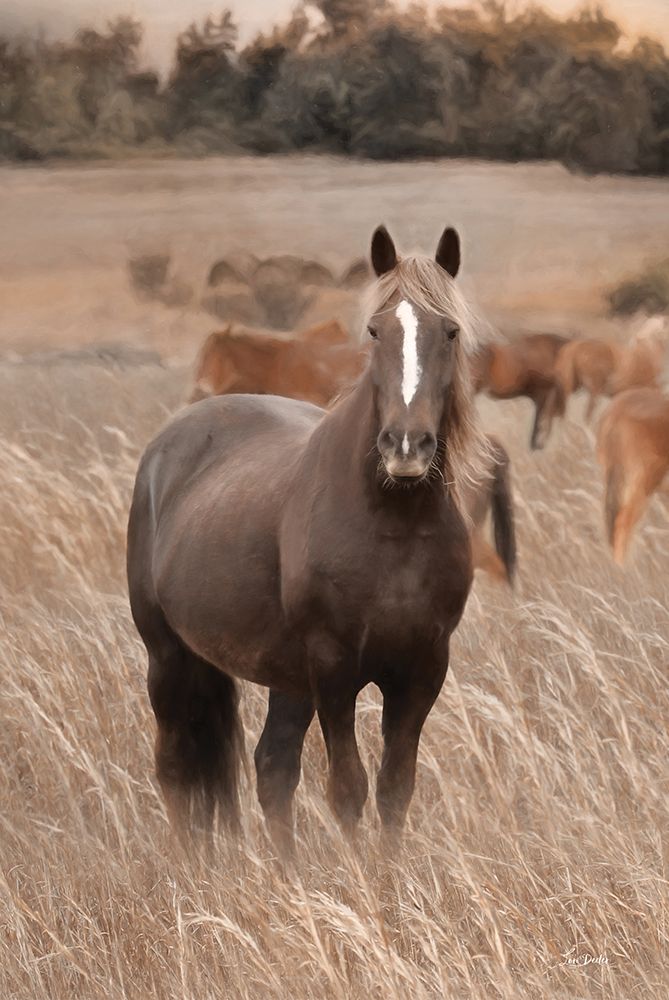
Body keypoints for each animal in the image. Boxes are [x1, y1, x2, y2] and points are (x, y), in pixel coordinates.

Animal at [128, 223, 488, 856]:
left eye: (450, 331)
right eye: (376, 330)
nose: (406, 447)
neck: (393, 525)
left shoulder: (421, 671)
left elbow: (395, 788)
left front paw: (390, 881)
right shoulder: (334, 671)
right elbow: (348, 789)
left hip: (284, 677)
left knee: (271, 769)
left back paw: (284, 874)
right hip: (168, 656)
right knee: (174, 768)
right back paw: (192, 870)